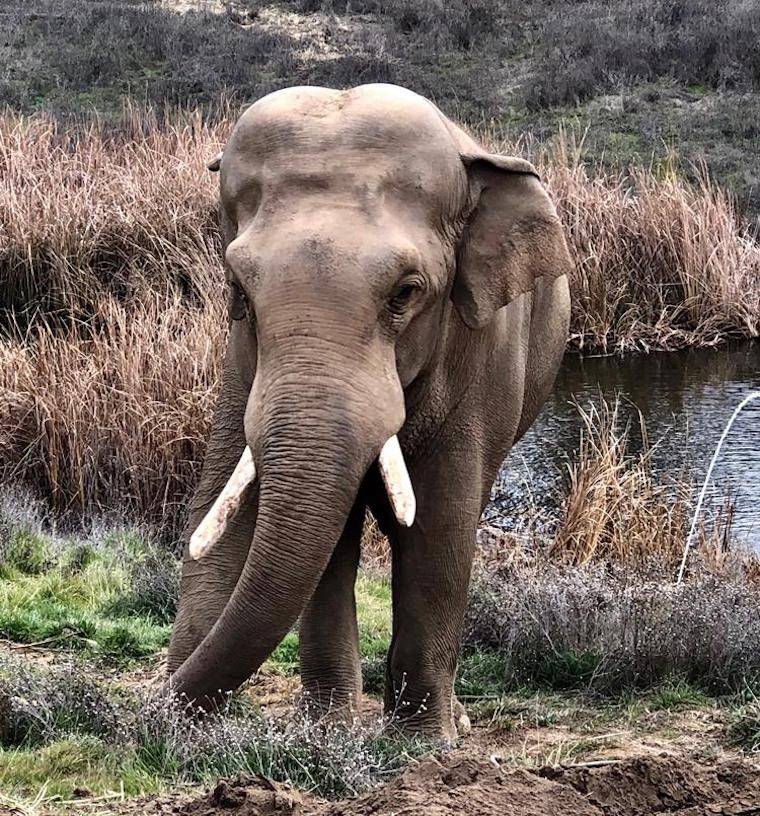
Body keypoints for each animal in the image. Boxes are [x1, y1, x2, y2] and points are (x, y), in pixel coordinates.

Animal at [166, 83, 572, 741]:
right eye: (238, 290)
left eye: (405, 292)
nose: (163, 708)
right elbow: (329, 534)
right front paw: (327, 733)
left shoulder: (483, 355)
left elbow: (440, 523)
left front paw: (424, 743)